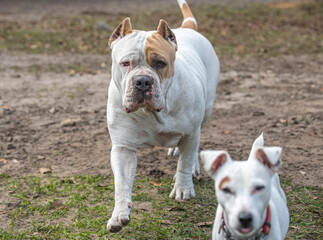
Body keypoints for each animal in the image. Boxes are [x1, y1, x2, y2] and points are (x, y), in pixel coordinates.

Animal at [106, 0, 220, 232]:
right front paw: (119, 213)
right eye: (125, 63)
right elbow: (121, 183)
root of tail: (187, 28)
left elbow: (184, 162)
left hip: (205, 112)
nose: (142, 81)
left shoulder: (190, 133)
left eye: (160, 63)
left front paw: (183, 188)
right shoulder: (123, 148)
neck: (151, 112)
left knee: (192, 149)